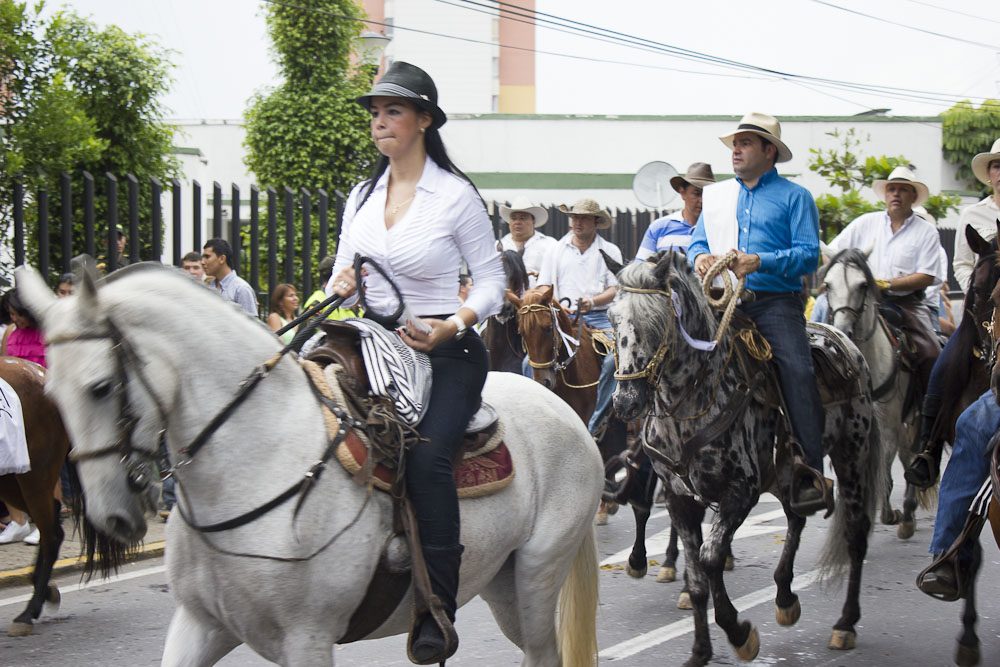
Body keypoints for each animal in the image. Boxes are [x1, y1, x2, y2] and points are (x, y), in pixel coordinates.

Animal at [17, 264, 600, 664]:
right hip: (504, 584)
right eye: (50, 392)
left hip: (537, 574)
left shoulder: (308, 638)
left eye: (100, 387)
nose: (110, 516)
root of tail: (564, 412)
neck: (254, 464)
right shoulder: (200, 624)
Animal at [608, 253, 884, 667]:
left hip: (851, 455)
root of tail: (844, 341)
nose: (625, 401)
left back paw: (845, 623)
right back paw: (785, 597)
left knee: (855, 535)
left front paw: (739, 633)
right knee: (795, 517)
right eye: (612, 319)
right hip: (787, 472)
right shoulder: (678, 499)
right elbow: (697, 580)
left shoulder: (741, 492)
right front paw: (700, 651)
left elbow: (710, 558)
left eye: (657, 320)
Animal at [820, 248, 920, 540]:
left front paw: (888, 512)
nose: (844, 329)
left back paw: (907, 514)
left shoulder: (888, 421)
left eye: (862, 285)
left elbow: (883, 462)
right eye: (827, 284)